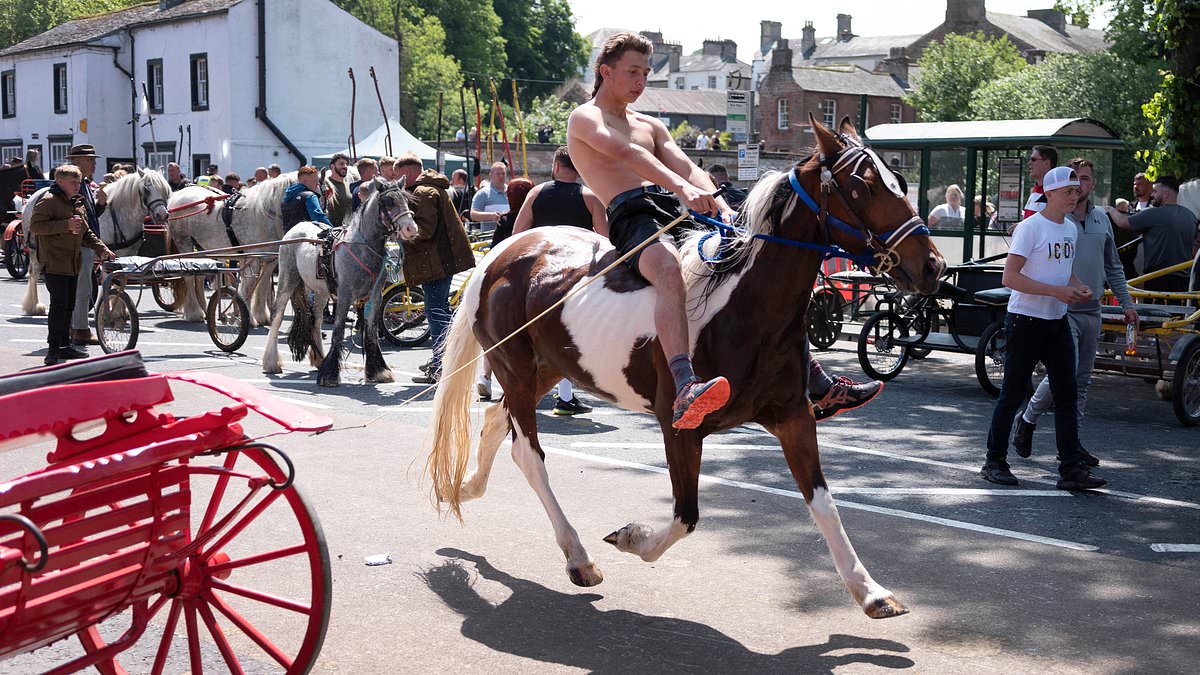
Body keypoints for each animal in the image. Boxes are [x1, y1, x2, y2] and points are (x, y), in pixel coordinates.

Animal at [19, 168, 171, 314]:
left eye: (165, 190)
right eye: (146, 189)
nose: (162, 215)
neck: (120, 213)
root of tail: (33, 196)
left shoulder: (127, 254)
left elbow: (118, 279)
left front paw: (118, 309)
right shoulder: (112, 255)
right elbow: (111, 280)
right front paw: (113, 310)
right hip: (35, 249)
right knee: (34, 272)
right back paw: (35, 306)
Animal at [165, 174, 296, 324]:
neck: (262, 214)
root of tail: (176, 195)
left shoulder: (270, 260)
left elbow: (262, 285)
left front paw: (261, 316)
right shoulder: (253, 258)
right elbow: (249, 286)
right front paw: (248, 319)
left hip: (201, 248)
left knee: (199, 277)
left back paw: (204, 310)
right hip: (184, 243)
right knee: (189, 277)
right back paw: (195, 313)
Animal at [261, 176, 417, 386]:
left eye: (406, 200)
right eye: (388, 202)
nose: (411, 228)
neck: (361, 247)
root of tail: (296, 228)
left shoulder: (374, 298)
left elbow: (371, 332)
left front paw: (378, 371)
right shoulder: (344, 296)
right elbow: (338, 331)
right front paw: (330, 374)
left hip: (320, 292)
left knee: (316, 320)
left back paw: (319, 359)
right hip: (287, 279)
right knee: (277, 316)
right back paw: (272, 362)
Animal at [427, 115, 940, 614]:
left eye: (899, 181)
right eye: (861, 187)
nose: (932, 265)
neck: (745, 308)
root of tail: (500, 254)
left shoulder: (794, 418)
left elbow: (824, 504)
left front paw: (869, 590)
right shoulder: (679, 429)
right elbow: (685, 518)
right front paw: (631, 538)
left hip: (547, 370)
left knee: (497, 422)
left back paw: (465, 488)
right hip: (515, 369)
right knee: (528, 455)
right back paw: (577, 556)